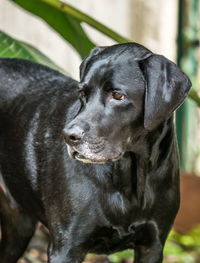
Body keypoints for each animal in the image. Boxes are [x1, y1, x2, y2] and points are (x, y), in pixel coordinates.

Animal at [0, 42, 191, 262]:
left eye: (118, 95)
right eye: (83, 94)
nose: (68, 135)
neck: (129, 175)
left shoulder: (152, 246)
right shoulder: (66, 248)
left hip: (19, 228)